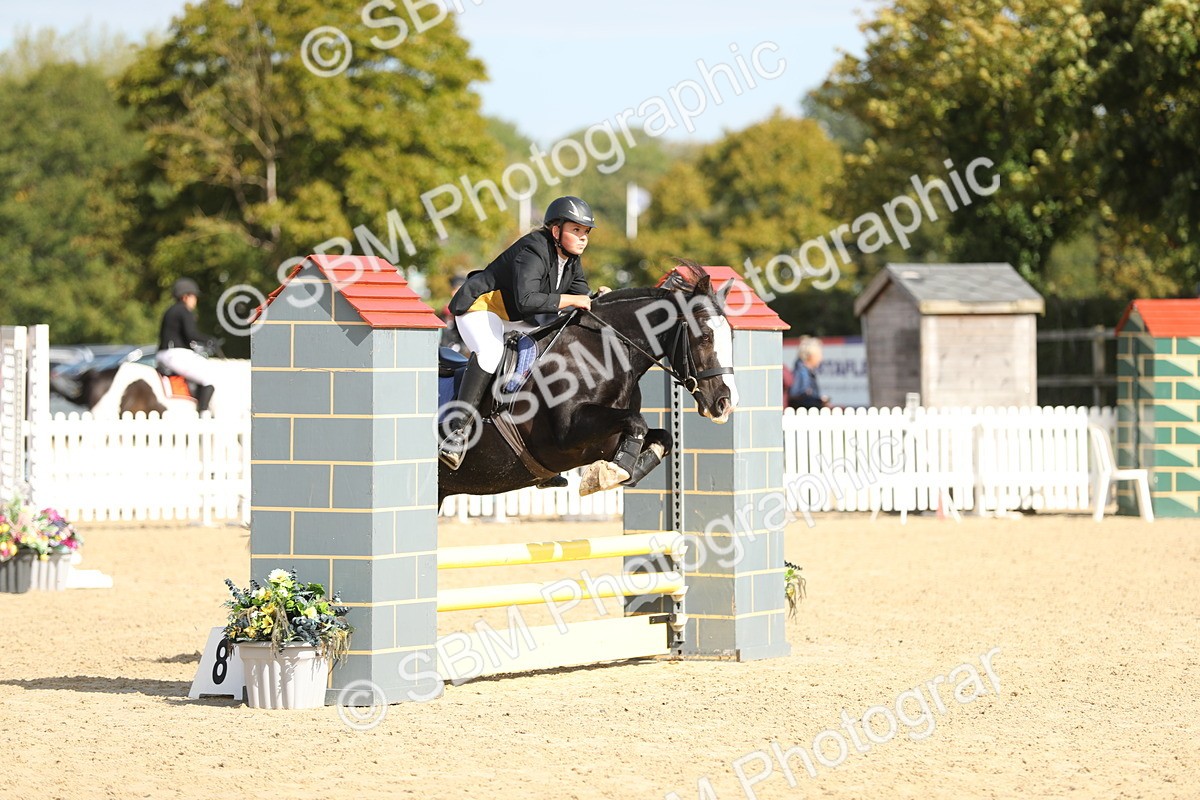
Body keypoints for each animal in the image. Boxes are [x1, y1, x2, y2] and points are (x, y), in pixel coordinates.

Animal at [437, 264, 738, 504]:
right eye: (704, 336)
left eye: (732, 337)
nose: (726, 403)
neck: (603, 353)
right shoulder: (566, 434)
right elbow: (637, 423)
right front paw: (609, 474)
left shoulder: (605, 439)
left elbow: (662, 435)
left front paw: (622, 472)